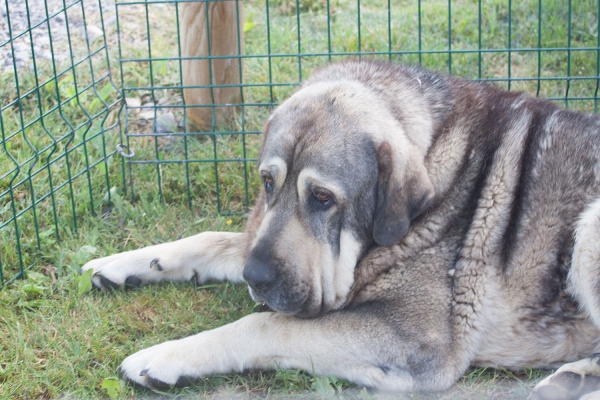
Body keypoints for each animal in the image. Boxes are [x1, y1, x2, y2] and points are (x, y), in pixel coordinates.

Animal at [82, 61, 600, 398]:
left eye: (323, 198)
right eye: (268, 182)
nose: (256, 278)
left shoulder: (415, 337)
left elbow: (267, 324)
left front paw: (167, 357)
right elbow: (212, 240)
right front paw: (127, 263)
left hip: (588, 231)